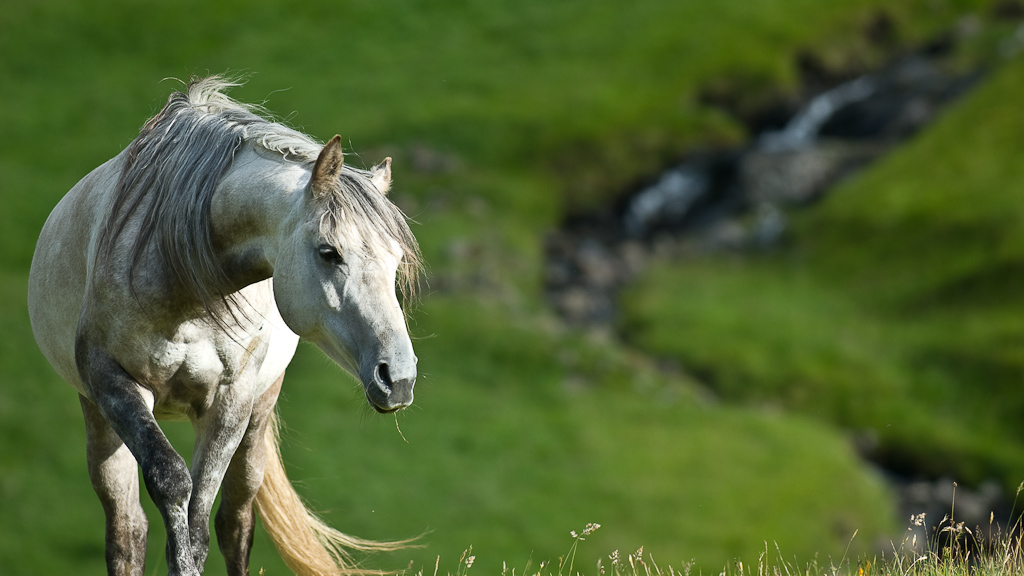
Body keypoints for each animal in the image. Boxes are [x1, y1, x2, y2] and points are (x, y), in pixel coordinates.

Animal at [27, 76, 422, 576]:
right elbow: (172, 482)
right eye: (329, 251)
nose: (399, 377)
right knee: (127, 529)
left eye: (396, 260)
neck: (183, 277)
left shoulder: (233, 397)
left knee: (235, 523)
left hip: (257, 417)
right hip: (97, 415)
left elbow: (199, 518)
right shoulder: (112, 381)